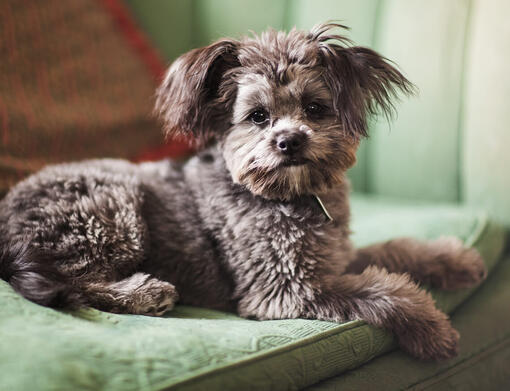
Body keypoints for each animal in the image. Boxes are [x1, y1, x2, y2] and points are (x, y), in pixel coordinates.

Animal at [0, 23, 486, 362]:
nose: (289, 141)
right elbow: (384, 291)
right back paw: (146, 292)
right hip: (111, 209)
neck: (291, 198)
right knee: (79, 282)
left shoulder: (334, 259)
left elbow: (394, 251)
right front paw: (432, 329)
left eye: (315, 108)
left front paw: (452, 259)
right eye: (257, 116)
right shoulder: (286, 290)